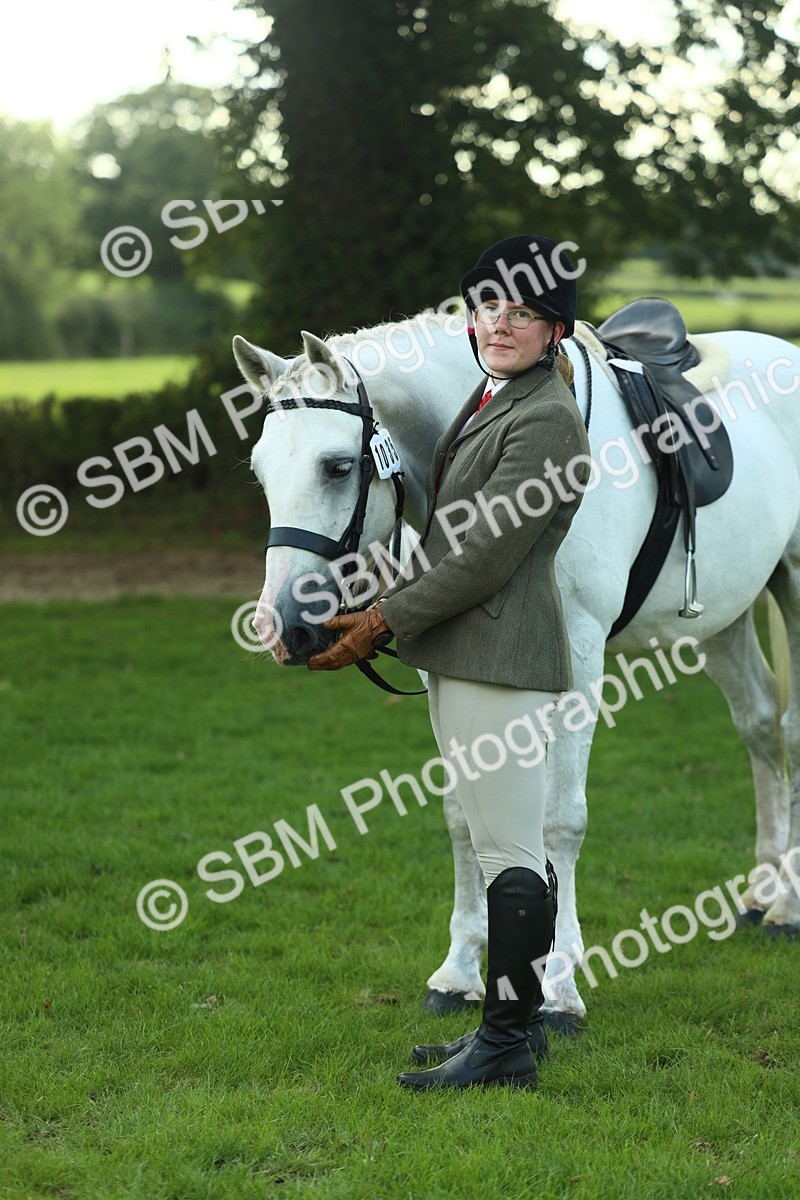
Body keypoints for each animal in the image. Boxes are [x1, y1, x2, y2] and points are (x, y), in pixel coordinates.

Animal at [232, 305, 800, 1029]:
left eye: (334, 467)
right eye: (259, 472)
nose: (283, 627)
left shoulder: (580, 658)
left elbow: (561, 819)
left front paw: (558, 988)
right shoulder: (447, 664)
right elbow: (463, 817)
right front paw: (459, 972)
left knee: (789, 732)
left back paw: (788, 906)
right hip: (724, 616)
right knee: (759, 727)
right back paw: (763, 892)